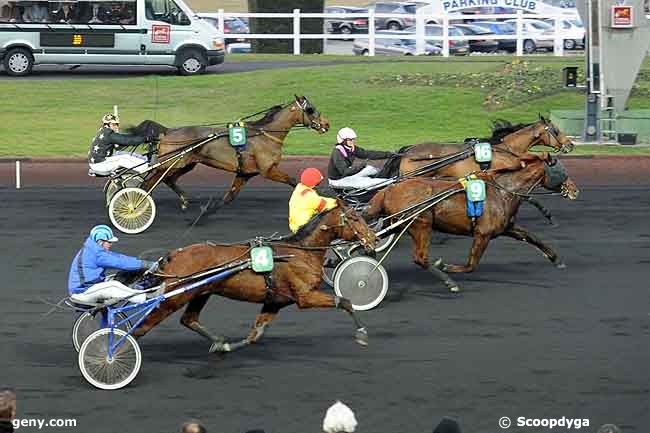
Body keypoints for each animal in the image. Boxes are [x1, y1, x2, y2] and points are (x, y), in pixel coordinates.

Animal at [126, 96, 330, 214]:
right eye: (310, 109)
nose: (326, 124)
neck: (265, 134)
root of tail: (167, 131)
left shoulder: (245, 172)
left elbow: (229, 196)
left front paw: (208, 208)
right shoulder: (268, 170)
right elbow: (294, 180)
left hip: (185, 164)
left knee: (168, 180)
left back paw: (184, 200)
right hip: (169, 164)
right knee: (148, 183)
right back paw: (136, 204)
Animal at [132, 201, 374, 352]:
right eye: (355, 217)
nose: (373, 239)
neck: (300, 252)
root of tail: (174, 255)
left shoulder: (275, 302)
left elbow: (255, 334)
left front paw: (225, 346)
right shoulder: (305, 297)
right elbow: (344, 301)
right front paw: (362, 333)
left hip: (201, 292)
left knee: (188, 319)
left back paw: (218, 340)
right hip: (175, 297)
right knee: (143, 327)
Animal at [364, 154, 576, 292]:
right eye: (562, 170)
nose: (575, 189)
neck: (503, 190)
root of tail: (388, 190)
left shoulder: (506, 228)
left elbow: (533, 237)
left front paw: (556, 259)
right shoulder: (483, 233)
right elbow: (471, 264)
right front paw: (445, 266)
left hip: (398, 224)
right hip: (420, 224)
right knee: (420, 258)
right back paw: (449, 281)